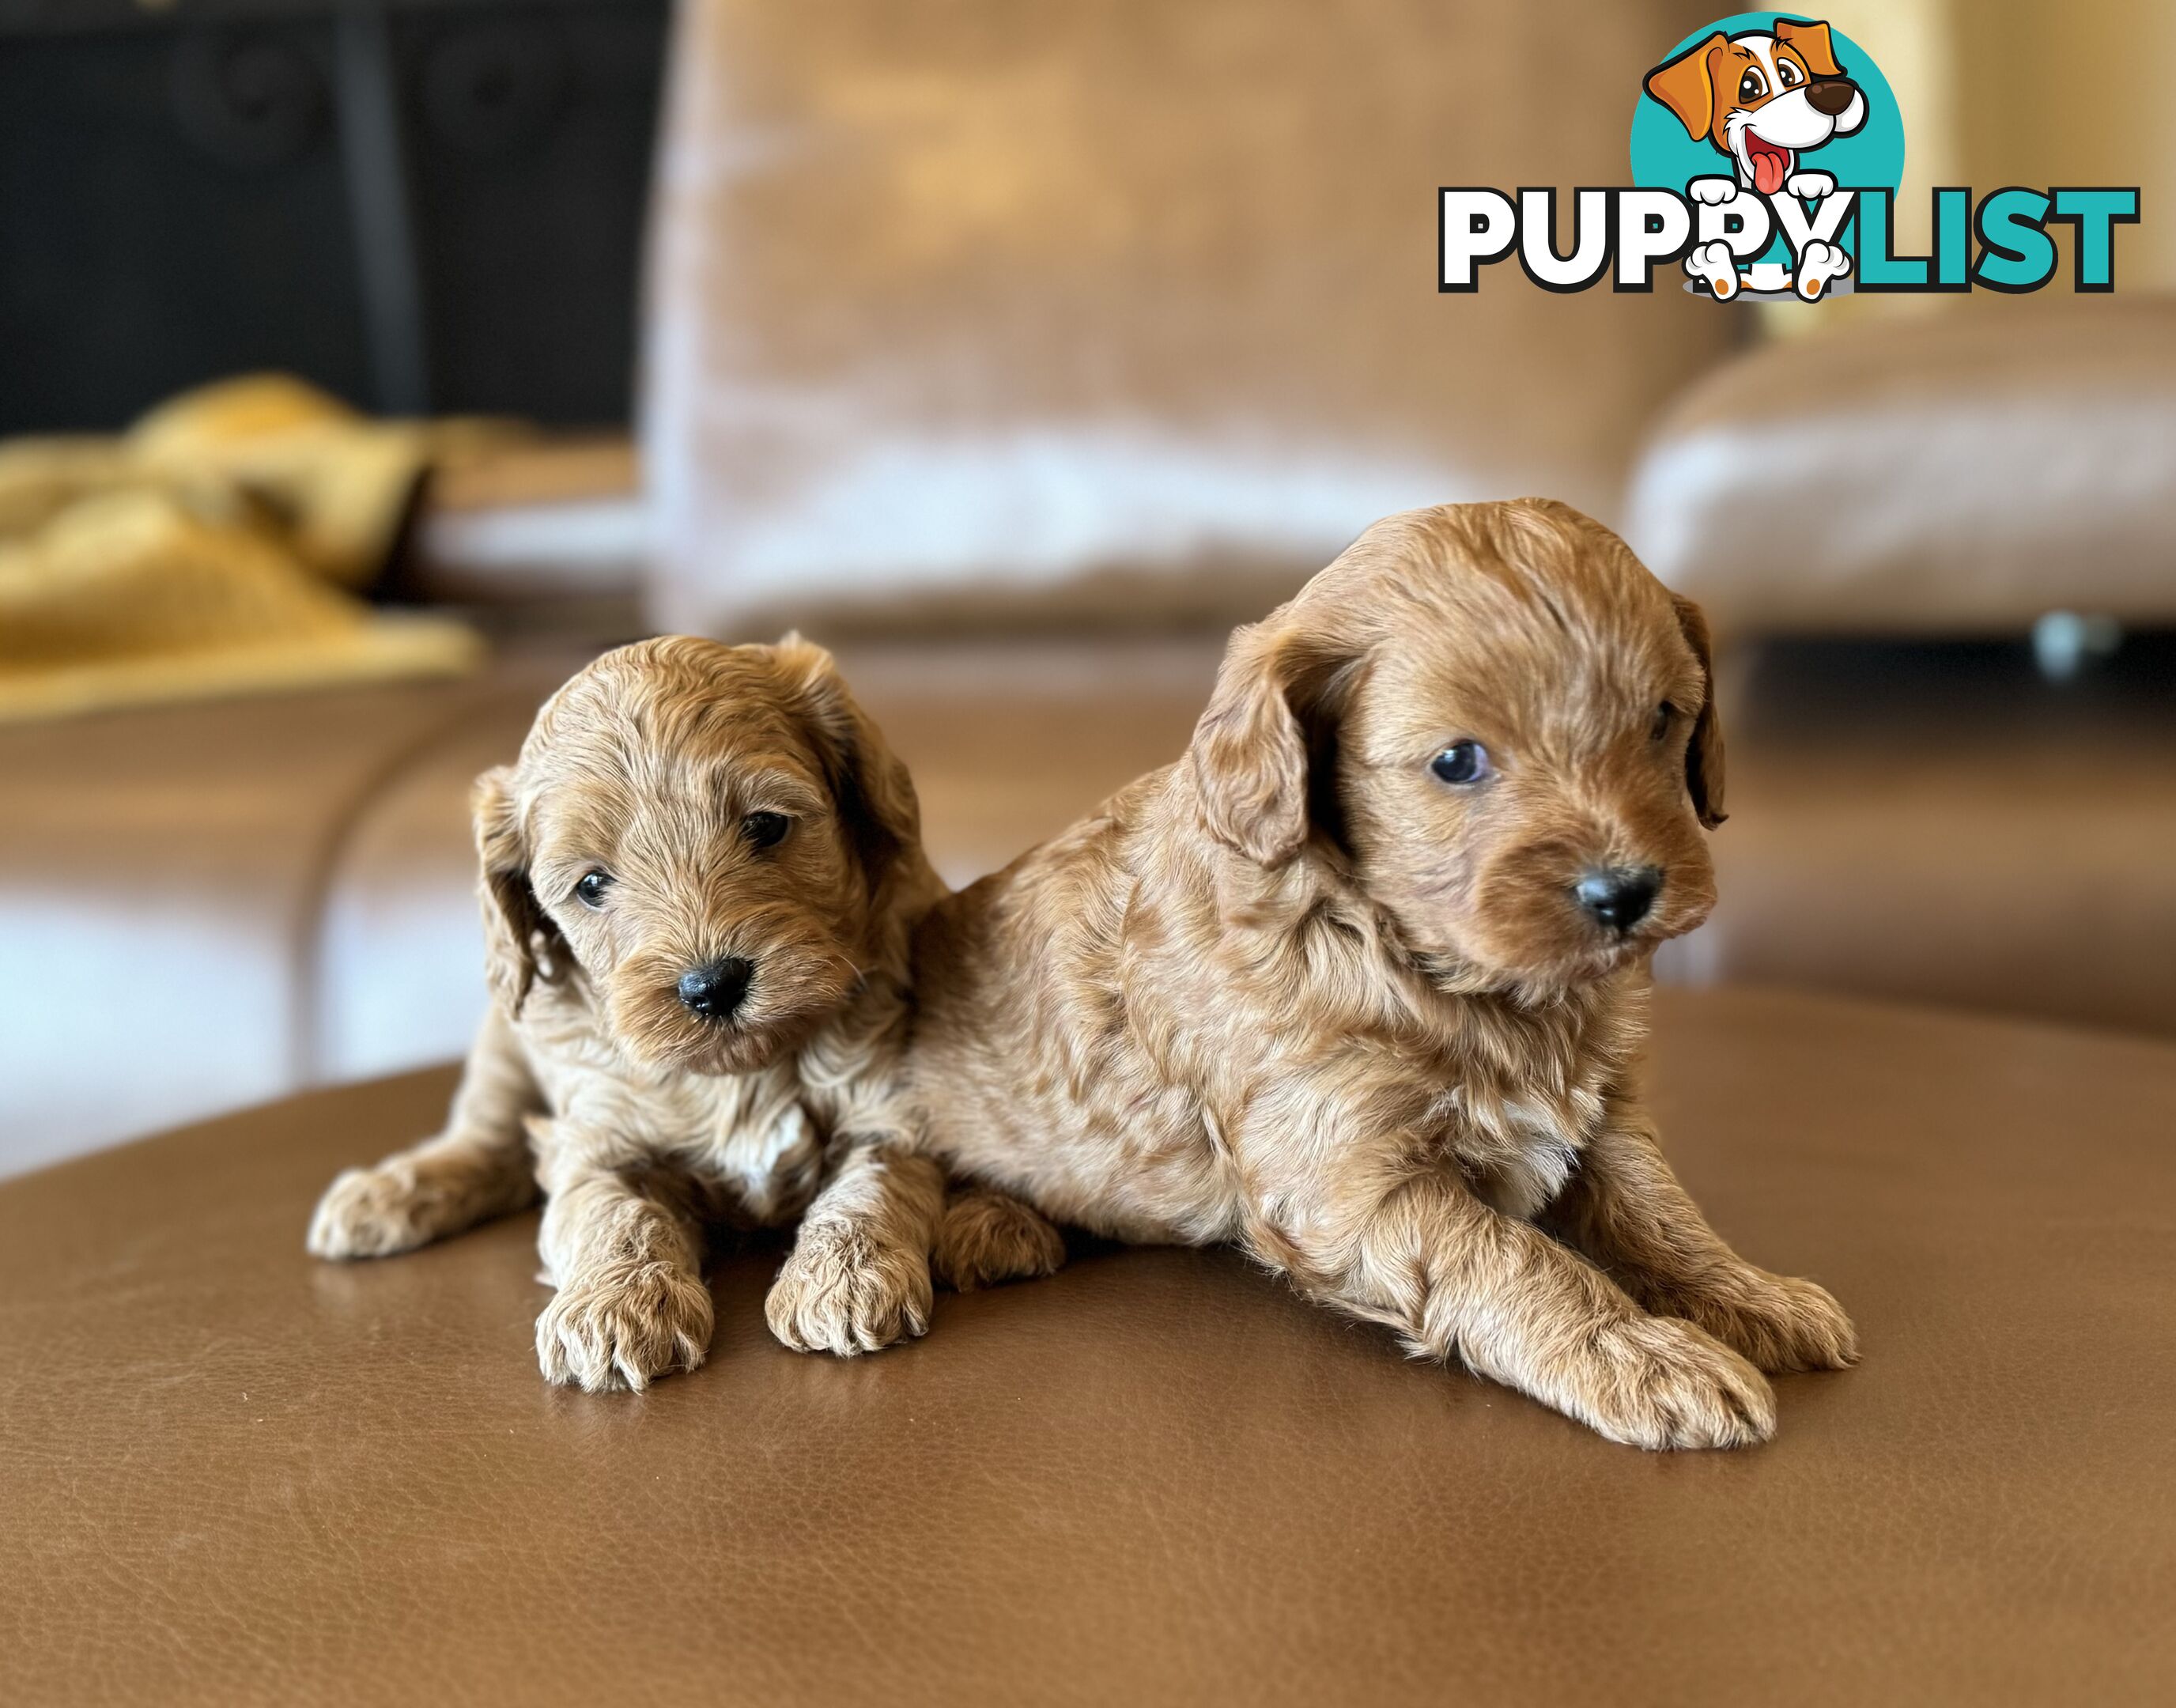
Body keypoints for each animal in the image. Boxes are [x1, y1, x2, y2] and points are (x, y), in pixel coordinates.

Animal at [311, 635, 1057, 1384]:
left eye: (766, 825)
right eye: (591, 885)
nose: (712, 986)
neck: (744, 1070)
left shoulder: (887, 1109)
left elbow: (870, 1187)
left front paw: (841, 1277)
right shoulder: (598, 1137)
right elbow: (611, 1212)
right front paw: (614, 1307)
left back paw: (998, 1224)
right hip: (504, 1043)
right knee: (485, 1141)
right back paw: (385, 1193)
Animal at [883, 500, 1853, 1445]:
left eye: (1660, 719)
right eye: (1456, 761)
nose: (1625, 892)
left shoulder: (1603, 1113)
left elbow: (1660, 1213)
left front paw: (1748, 1293)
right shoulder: (1342, 1172)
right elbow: (1512, 1257)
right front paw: (1642, 1354)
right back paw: (992, 1222)